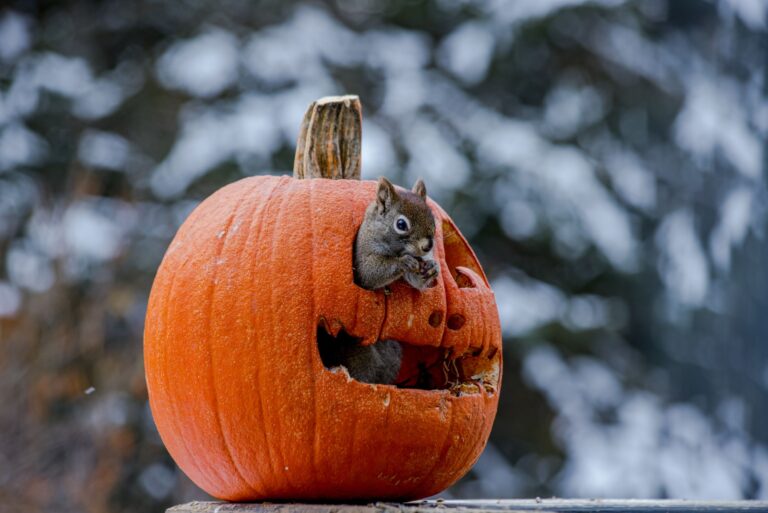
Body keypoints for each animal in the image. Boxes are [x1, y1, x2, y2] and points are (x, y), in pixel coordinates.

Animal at [325, 177, 439, 385]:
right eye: (401, 224)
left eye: (432, 220)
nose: (428, 246)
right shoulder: (363, 254)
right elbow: (370, 273)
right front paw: (403, 262)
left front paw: (431, 268)